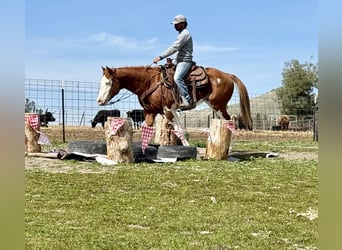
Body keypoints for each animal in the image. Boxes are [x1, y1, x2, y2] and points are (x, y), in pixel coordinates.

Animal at [95, 65, 252, 130]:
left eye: (108, 82)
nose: (99, 101)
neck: (151, 82)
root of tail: (227, 75)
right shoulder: (151, 112)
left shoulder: (168, 110)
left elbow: (178, 129)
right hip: (214, 106)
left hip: (219, 105)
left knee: (230, 121)